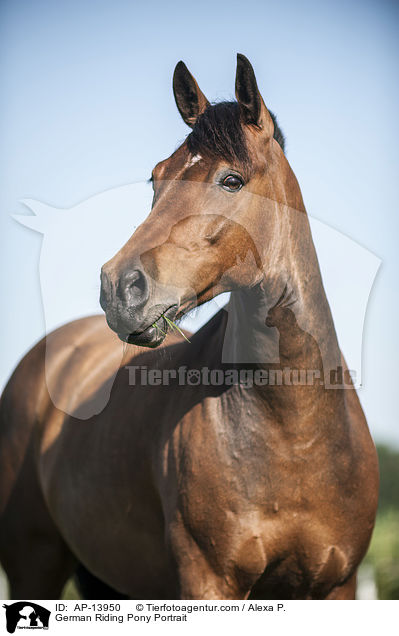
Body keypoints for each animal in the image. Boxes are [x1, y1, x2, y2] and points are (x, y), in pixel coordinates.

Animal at [0, 53, 380, 596]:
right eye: (156, 178)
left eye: (231, 180)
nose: (119, 287)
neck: (296, 433)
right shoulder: (209, 582)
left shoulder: (337, 586)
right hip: (34, 563)